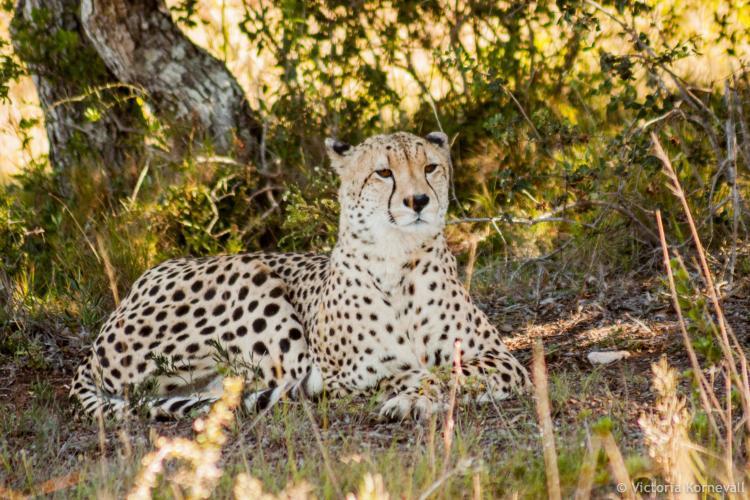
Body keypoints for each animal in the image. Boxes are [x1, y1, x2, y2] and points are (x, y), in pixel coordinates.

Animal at [69, 131, 530, 421]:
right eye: (384, 172)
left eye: (431, 167)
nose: (418, 200)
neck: (398, 262)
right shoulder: (345, 375)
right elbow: (402, 374)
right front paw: (405, 393)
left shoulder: (503, 359)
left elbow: (450, 371)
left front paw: (415, 399)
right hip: (250, 277)